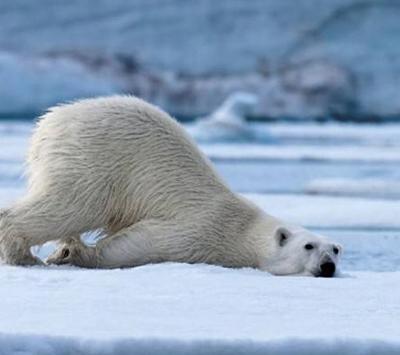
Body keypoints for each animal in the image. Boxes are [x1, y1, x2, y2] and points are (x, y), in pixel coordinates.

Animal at [0, 96, 340, 276]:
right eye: (309, 246)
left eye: (336, 249)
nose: (328, 266)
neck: (243, 228)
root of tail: (49, 122)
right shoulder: (201, 231)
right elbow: (139, 244)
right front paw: (75, 254)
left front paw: (69, 250)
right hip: (91, 161)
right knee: (70, 205)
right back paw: (23, 256)